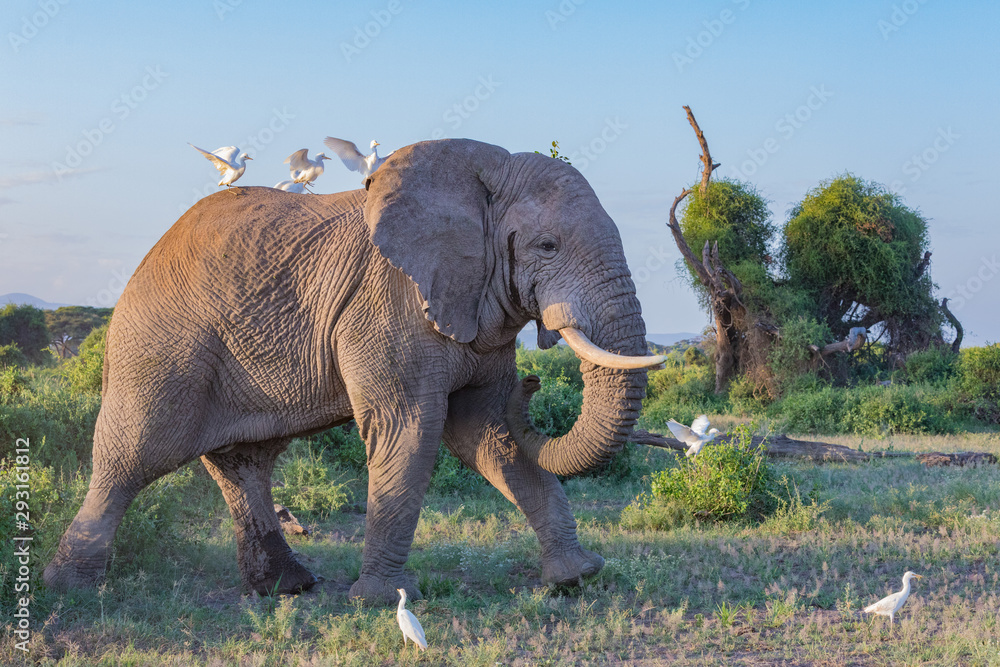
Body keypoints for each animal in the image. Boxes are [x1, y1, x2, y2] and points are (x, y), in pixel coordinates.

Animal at [43, 139, 665, 605]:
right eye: (547, 245)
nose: (534, 383)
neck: (482, 175)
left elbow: (487, 433)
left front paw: (576, 576)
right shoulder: (389, 300)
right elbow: (412, 429)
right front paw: (383, 600)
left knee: (243, 462)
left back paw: (286, 588)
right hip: (159, 345)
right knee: (132, 456)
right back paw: (71, 589)